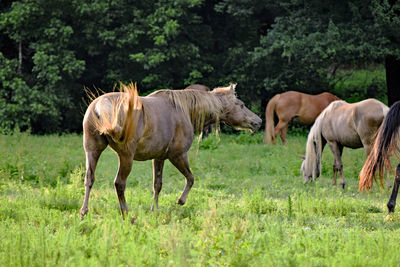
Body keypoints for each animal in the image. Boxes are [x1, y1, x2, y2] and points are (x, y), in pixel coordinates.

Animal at [81, 83, 262, 220]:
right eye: (241, 105)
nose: (258, 121)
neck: (184, 109)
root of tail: (100, 105)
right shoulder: (178, 156)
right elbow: (191, 178)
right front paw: (181, 200)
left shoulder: (159, 158)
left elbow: (157, 185)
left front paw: (154, 210)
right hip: (126, 157)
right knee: (119, 183)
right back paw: (126, 214)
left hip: (92, 151)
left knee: (89, 179)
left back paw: (84, 212)